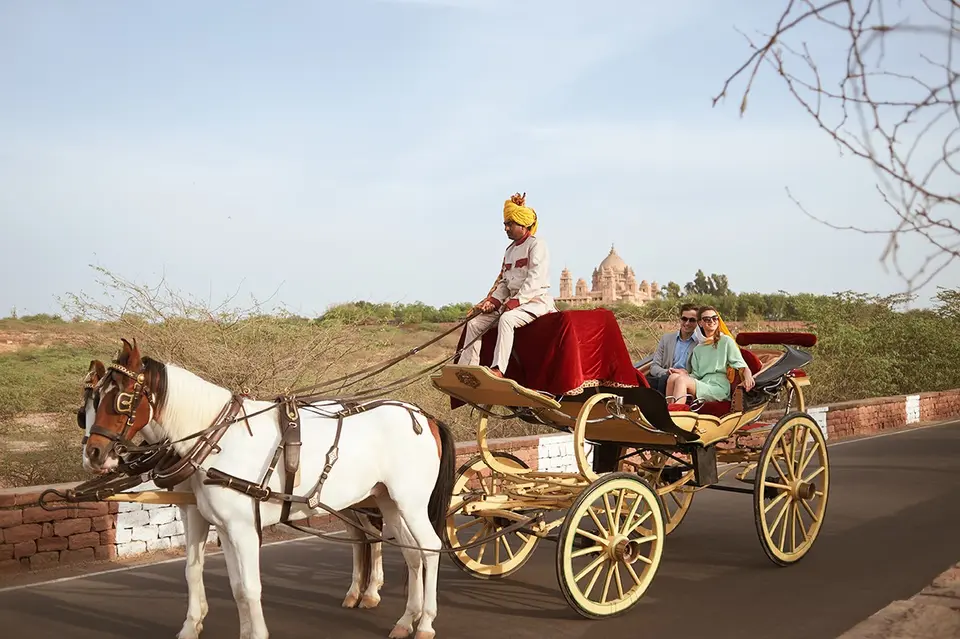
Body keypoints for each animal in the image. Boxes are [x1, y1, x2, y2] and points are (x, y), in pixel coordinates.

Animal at [79, 342, 454, 639]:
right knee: (412, 553)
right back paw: (406, 620)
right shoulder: (218, 524)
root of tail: (423, 416)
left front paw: (253, 633)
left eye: (122, 399)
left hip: (410, 502)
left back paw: (425, 623)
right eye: (91, 403)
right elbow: (229, 583)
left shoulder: (243, 527)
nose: (93, 454)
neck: (216, 438)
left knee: (430, 548)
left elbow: (249, 586)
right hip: (388, 500)